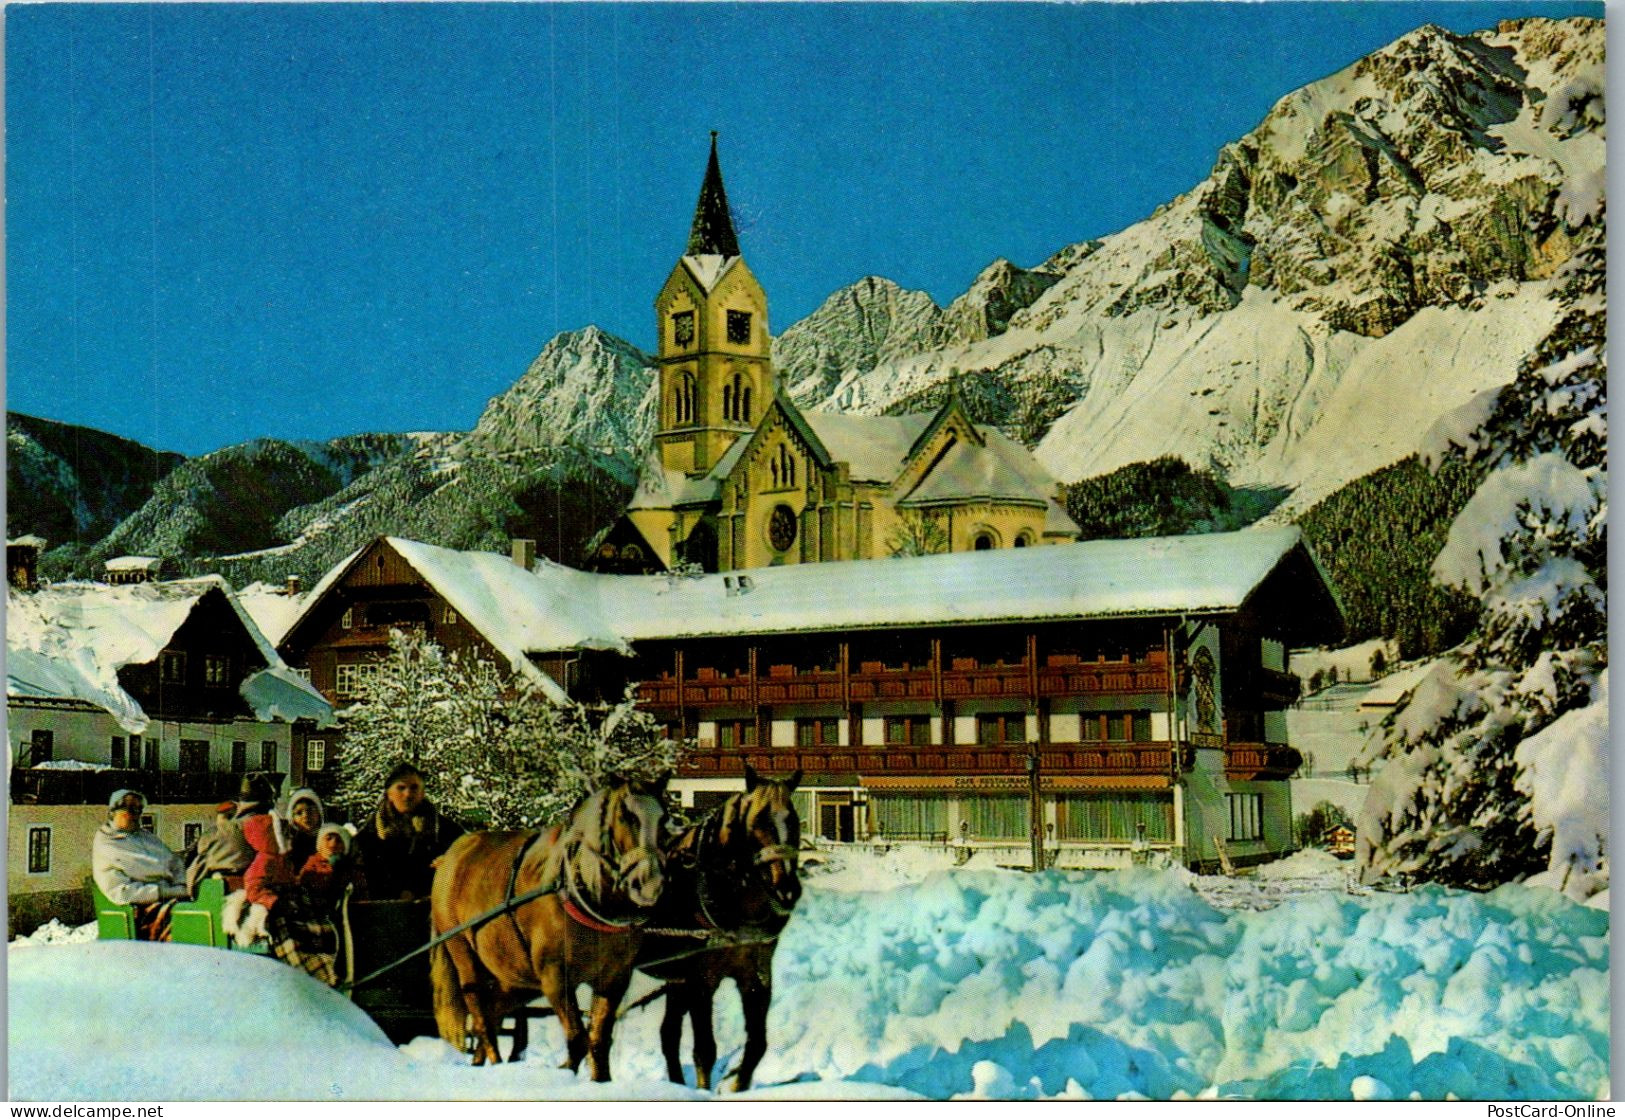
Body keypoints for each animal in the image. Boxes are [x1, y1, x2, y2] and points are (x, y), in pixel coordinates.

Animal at [429, 773, 669, 1079]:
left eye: (664, 818)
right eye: (625, 815)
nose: (650, 882)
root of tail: (449, 857)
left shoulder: (614, 978)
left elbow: (598, 1041)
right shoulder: (555, 977)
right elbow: (577, 1039)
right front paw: (565, 1074)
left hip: (515, 976)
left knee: (493, 1014)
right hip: (464, 955)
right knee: (482, 1019)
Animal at [640, 764, 806, 1085]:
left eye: (793, 820)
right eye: (758, 820)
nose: (787, 891)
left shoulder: (755, 975)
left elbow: (757, 1045)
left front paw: (735, 1086)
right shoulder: (701, 981)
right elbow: (705, 1050)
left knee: (668, 1035)